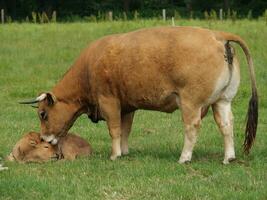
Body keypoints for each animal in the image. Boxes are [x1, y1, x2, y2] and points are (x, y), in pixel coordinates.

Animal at [19, 26, 258, 164]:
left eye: (43, 114)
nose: (43, 138)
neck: (89, 66)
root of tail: (217, 35)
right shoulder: (128, 107)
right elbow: (125, 130)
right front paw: (124, 152)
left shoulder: (109, 101)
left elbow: (115, 129)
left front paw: (115, 155)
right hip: (222, 101)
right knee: (226, 125)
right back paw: (229, 157)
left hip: (190, 103)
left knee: (192, 127)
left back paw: (184, 158)